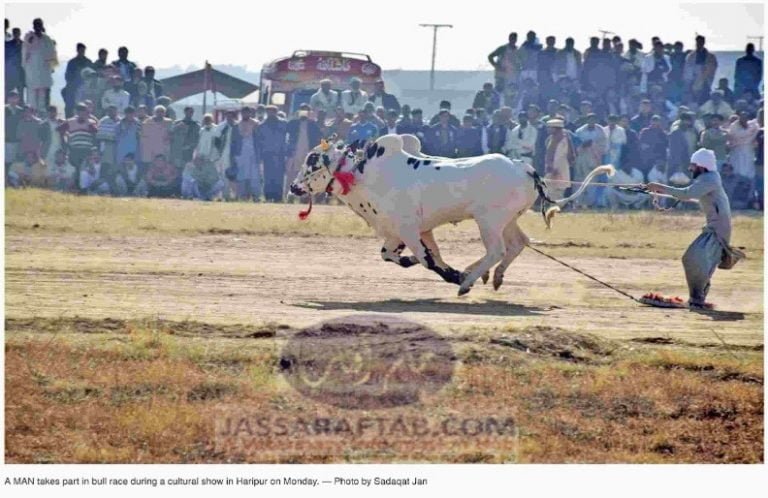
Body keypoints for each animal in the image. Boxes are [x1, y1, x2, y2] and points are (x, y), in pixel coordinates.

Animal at [289, 134, 613, 296]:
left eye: (312, 163)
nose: (293, 186)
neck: (364, 175)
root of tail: (525, 168)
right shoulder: (411, 232)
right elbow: (401, 256)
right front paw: (440, 268)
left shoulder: (408, 230)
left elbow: (428, 260)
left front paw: (454, 276)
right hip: (508, 220)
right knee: (518, 243)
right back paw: (490, 276)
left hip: (489, 222)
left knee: (497, 251)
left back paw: (468, 281)